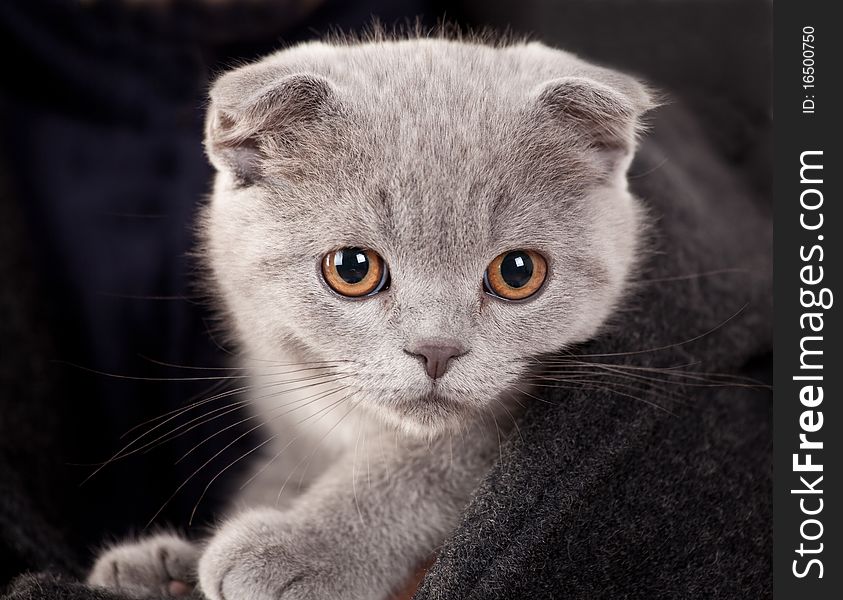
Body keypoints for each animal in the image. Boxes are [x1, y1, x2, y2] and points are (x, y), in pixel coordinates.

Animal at [89, 37, 652, 600]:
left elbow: (429, 465)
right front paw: (159, 569)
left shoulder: (495, 425)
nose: (437, 349)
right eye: (352, 268)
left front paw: (297, 549)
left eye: (518, 272)